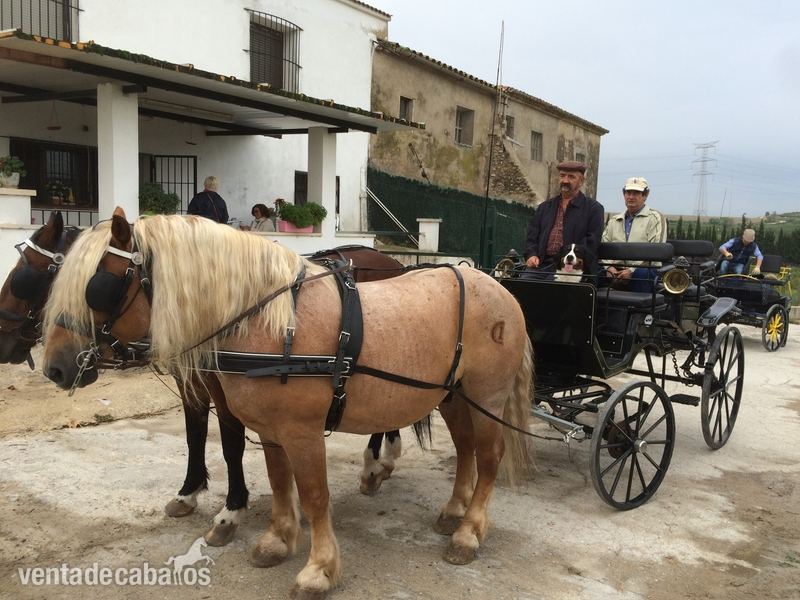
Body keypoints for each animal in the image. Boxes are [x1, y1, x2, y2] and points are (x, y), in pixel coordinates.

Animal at [41, 208, 533, 599]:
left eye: (98, 287)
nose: (55, 368)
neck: (270, 325)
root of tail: (493, 285)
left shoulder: (302, 430)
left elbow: (314, 495)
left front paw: (319, 569)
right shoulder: (270, 429)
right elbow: (280, 482)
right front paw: (277, 541)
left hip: (487, 396)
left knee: (489, 456)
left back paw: (469, 532)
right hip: (454, 396)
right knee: (466, 448)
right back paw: (453, 511)